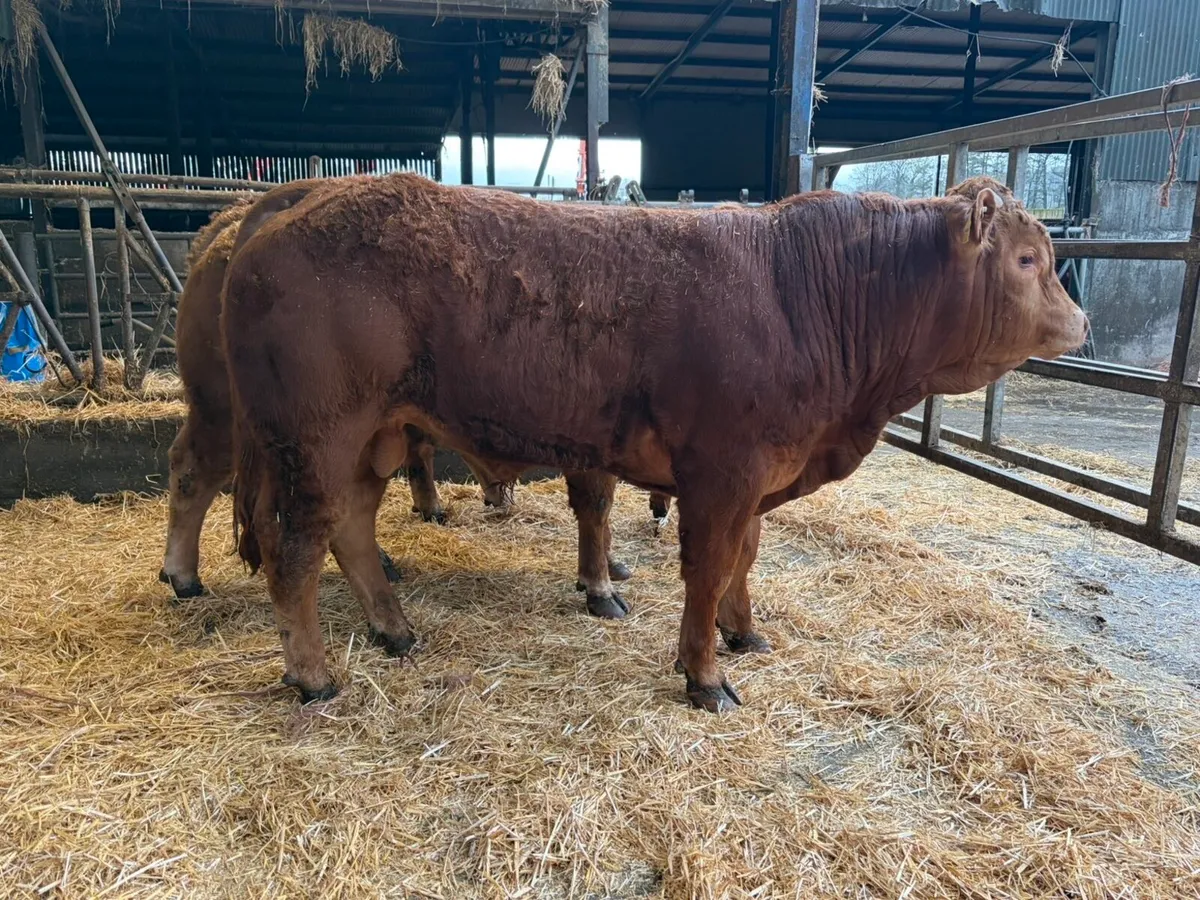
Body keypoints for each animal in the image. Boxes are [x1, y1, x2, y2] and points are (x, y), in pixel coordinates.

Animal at [221, 173, 1087, 710]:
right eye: (1026, 259)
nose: (1080, 322)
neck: (799, 294)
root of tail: (296, 201)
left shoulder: (758, 480)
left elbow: (744, 561)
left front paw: (745, 632)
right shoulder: (723, 477)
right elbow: (706, 573)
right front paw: (703, 674)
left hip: (374, 440)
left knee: (353, 534)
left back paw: (395, 630)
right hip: (317, 442)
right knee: (297, 553)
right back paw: (313, 676)